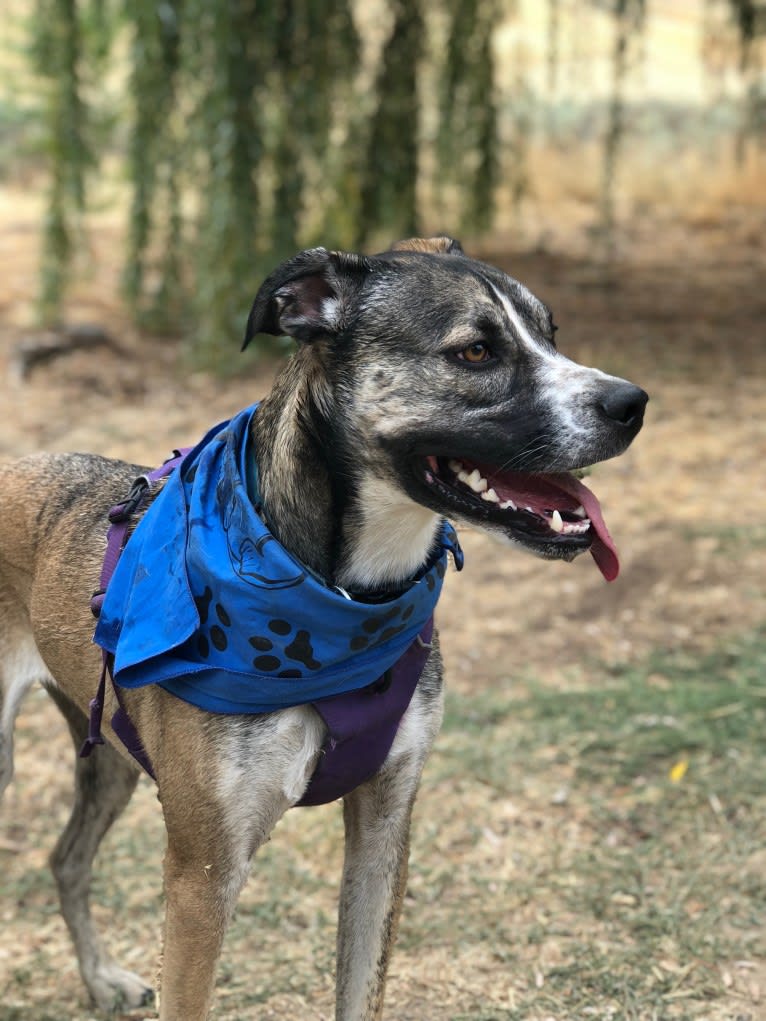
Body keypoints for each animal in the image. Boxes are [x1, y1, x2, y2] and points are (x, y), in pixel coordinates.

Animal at [0, 234, 649, 1016]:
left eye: (551, 333)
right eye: (474, 351)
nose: (633, 403)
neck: (345, 598)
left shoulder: (385, 827)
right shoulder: (202, 875)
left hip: (111, 763)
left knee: (65, 858)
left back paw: (99, 978)